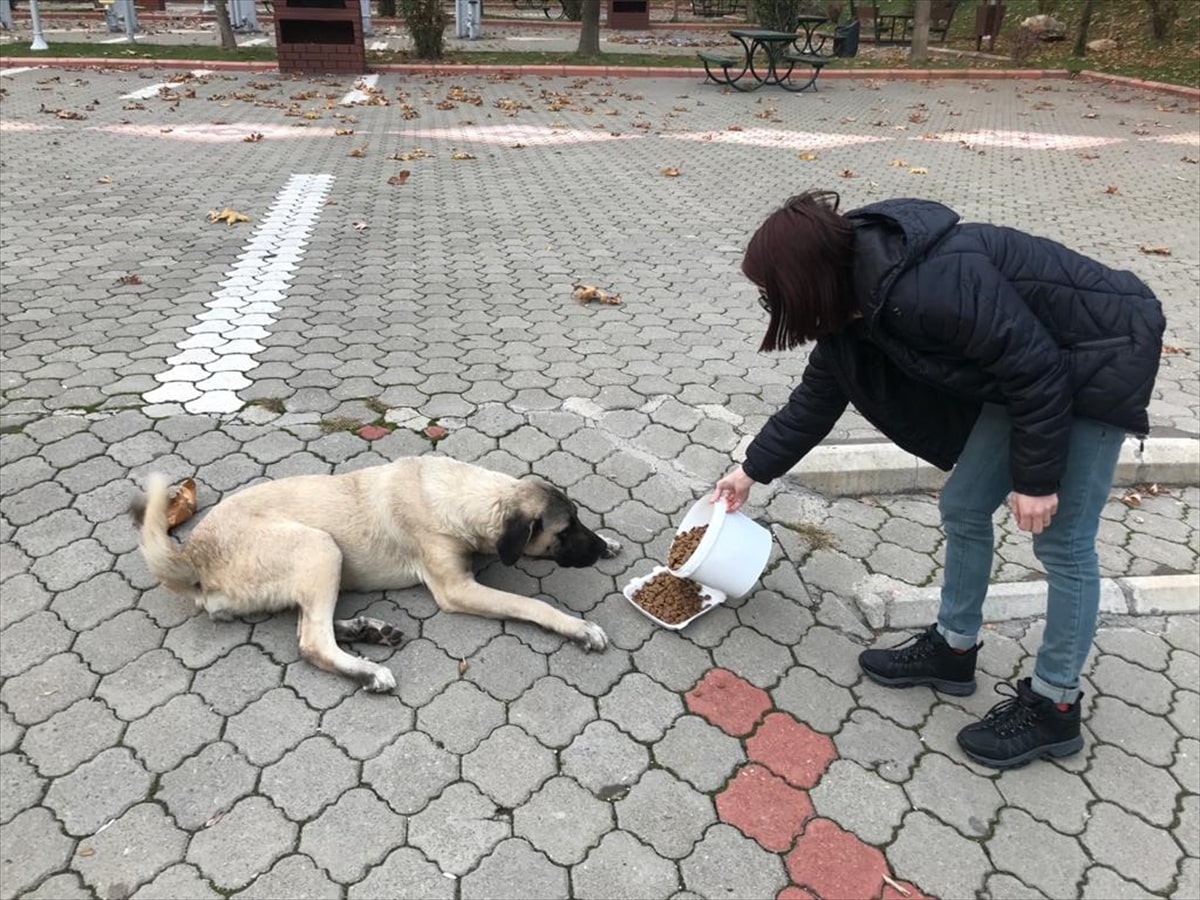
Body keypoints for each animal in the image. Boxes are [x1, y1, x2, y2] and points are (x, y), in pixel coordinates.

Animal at [131, 460, 624, 696]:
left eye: (579, 520)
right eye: (565, 531)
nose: (595, 550)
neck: (460, 494)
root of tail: (193, 554)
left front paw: (610, 540)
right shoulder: (456, 589)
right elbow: (532, 604)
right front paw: (579, 627)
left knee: (305, 621)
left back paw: (367, 629)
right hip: (319, 547)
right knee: (311, 641)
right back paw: (368, 671)